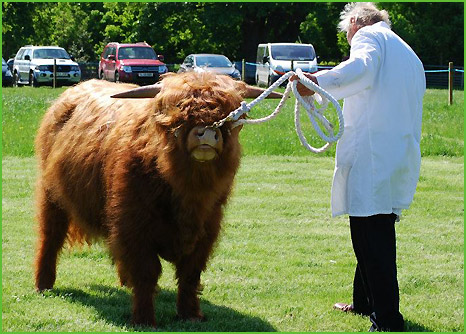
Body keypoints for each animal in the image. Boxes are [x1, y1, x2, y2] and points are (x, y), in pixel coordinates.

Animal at [34, 72, 280, 326]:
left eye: (231, 114)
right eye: (179, 110)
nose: (207, 133)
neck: (188, 192)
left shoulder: (207, 228)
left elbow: (190, 275)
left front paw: (190, 314)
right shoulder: (134, 226)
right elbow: (146, 272)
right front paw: (144, 318)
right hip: (51, 195)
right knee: (50, 237)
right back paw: (44, 285)